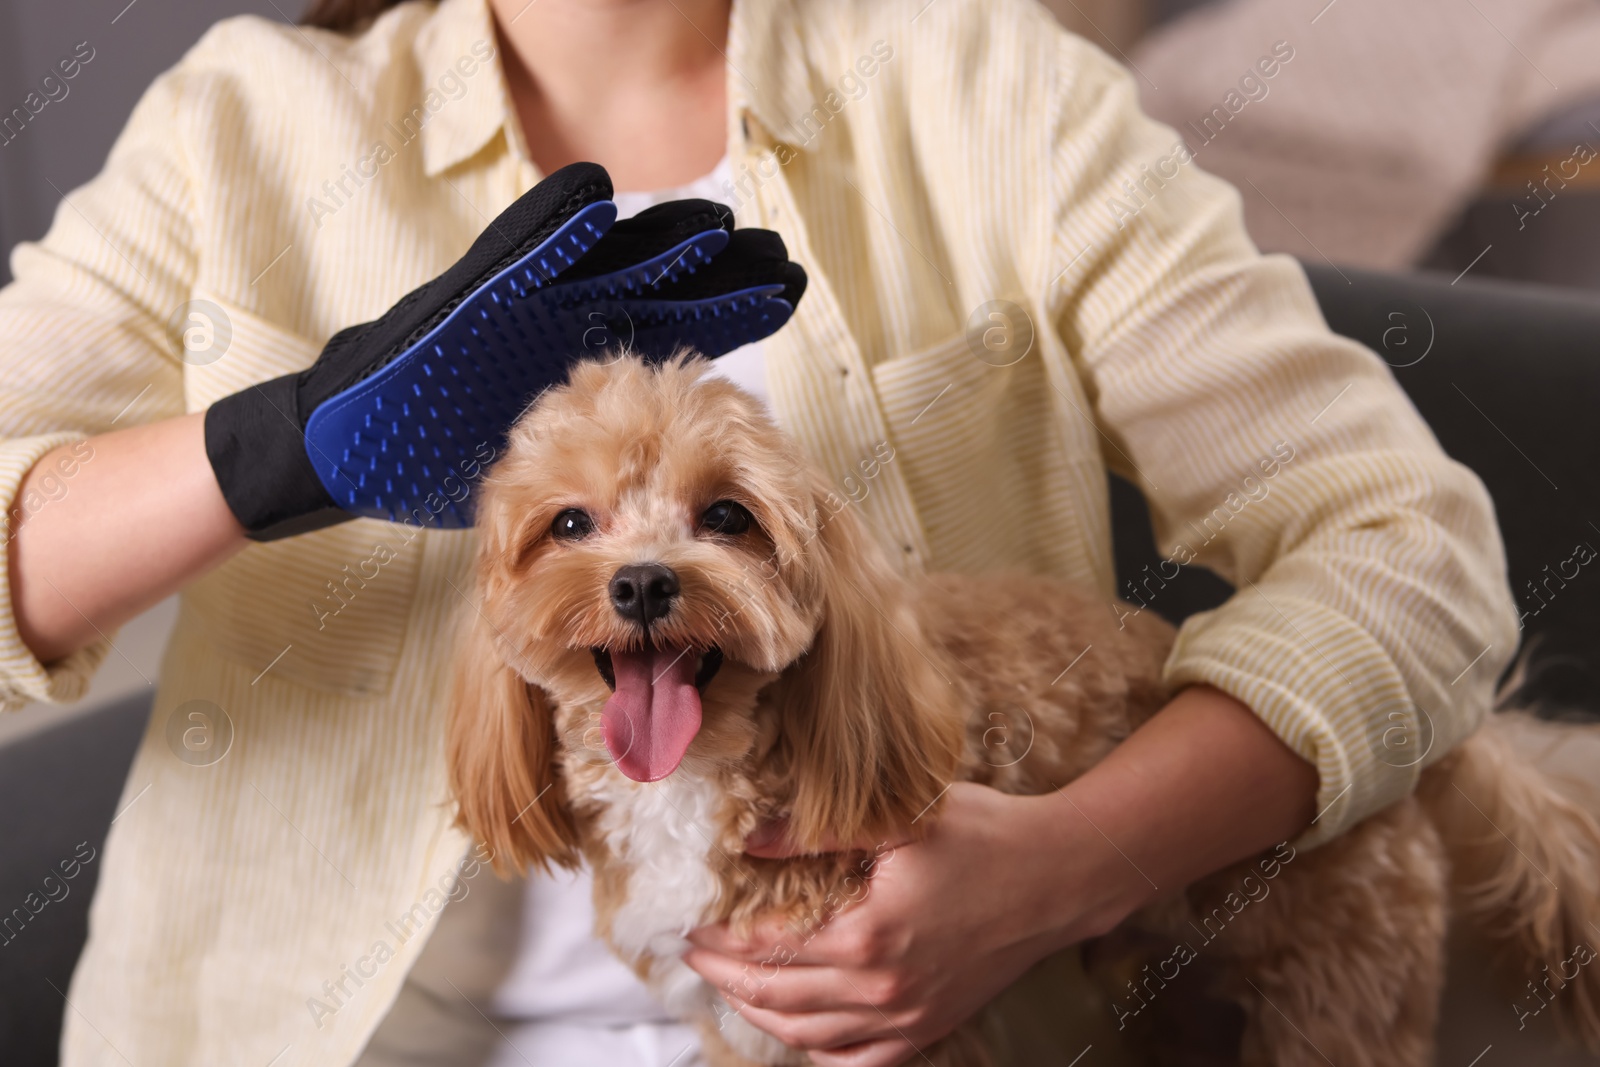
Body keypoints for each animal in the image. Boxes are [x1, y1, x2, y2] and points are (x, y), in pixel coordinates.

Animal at [444, 355, 1600, 1062]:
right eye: (569, 522)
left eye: (726, 515)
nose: (642, 581)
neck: (703, 779)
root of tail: (1425, 737)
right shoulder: (737, 1022)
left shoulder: (890, 1024)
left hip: (1341, 983)